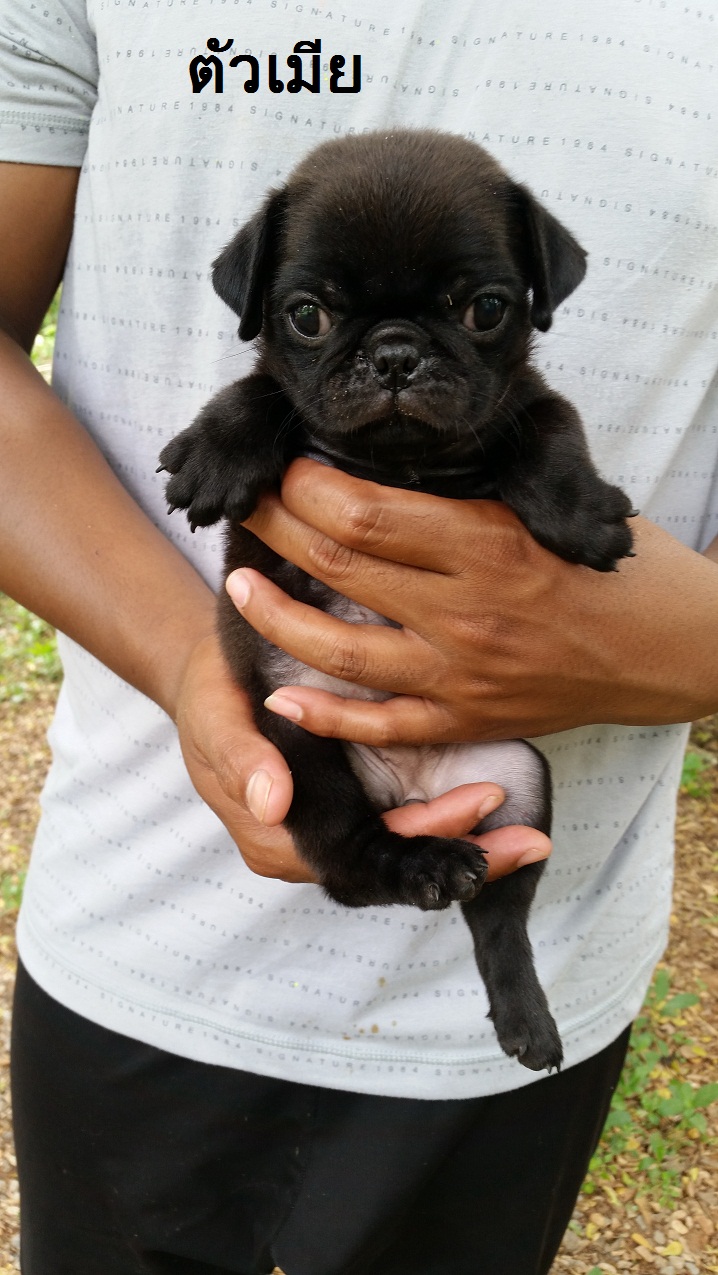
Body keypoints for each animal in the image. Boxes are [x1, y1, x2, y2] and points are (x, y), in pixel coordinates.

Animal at [159, 130, 634, 1072]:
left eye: (486, 308)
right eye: (307, 315)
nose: (394, 353)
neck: (402, 462)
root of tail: (410, 795)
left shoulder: (525, 399)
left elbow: (552, 434)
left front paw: (582, 513)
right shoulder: (289, 392)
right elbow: (259, 390)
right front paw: (213, 453)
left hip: (518, 780)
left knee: (499, 919)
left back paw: (524, 1013)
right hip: (304, 758)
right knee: (351, 867)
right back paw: (421, 866)